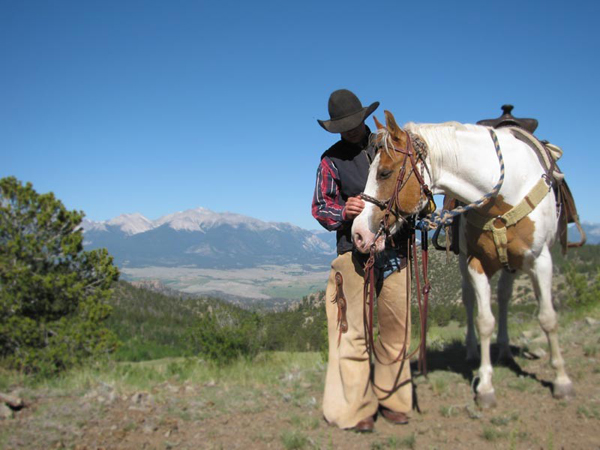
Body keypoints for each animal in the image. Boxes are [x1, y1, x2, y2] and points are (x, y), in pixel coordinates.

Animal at [354, 110, 576, 408]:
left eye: (384, 172)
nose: (358, 233)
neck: (506, 191)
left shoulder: (541, 260)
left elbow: (548, 318)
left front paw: (561, 380)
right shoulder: (475, 263)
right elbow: (484, 321)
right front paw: (485, 387)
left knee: (504, 296)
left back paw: (505, 350)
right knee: (472, 300)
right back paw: (473, 351)